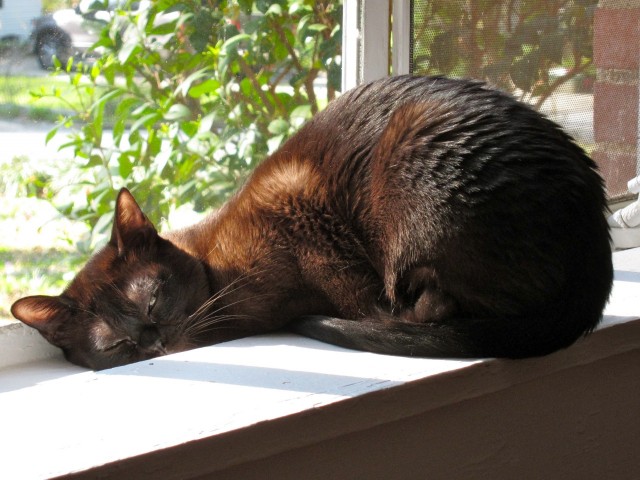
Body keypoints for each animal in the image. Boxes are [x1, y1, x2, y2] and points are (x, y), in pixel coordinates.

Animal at [10, 75, 612, 370]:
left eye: (154, 302)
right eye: (116, 346)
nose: (152, 343)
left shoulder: (298, 205)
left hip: (411, 181)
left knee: (444, 307)